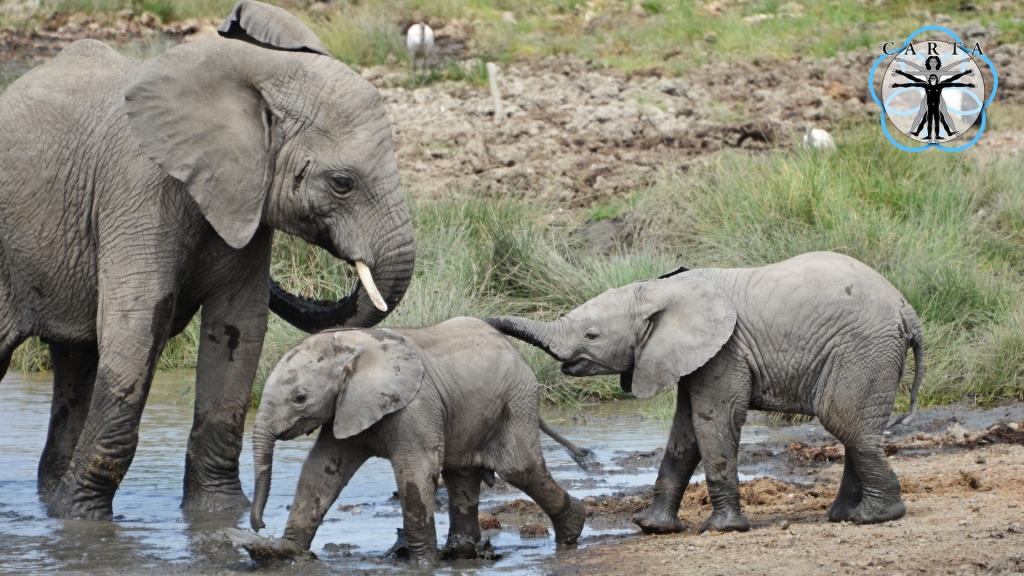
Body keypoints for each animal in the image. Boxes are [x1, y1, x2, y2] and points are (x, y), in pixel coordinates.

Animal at [0, 0, 415, 518]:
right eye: (342, 183)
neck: (260, 74)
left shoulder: (244, 198)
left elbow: (239, 326)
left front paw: (218, 514)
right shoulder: (138, 188)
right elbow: (137, 322)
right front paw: (83, 520)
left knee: (77, 363)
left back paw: (50, 501)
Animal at [245, 313, 593, 561]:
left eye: (299, 398)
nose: (259, 525)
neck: (352, 344)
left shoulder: (415, 404)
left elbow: (416, 470)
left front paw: (422, 562)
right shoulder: (346, 407)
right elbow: (322, 470)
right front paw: (288, 552)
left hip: (516, 400)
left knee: (520, 469)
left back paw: (571, 531)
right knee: (461, 476)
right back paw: (462, 551)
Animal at [483, 251, 925, 532]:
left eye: (591, 335)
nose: (483, 322)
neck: (663, 290)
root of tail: (908, 309)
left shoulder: (725, 350)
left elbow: (713, 420)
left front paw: (722, 529)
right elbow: (685, 432)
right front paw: (652, 527)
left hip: (862, 349)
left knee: (845, 422)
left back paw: (874, 518)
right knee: (854, 428)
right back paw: (844, 517)